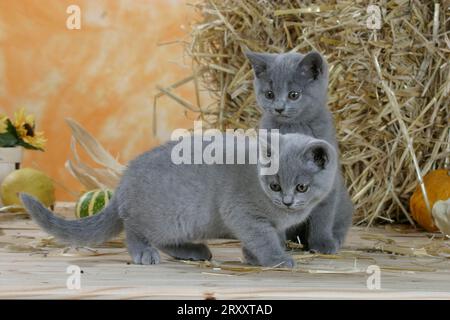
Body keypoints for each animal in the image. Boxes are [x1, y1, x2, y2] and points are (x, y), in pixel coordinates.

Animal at [21, 132, 338, 268]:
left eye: (301, 187)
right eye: (274, 185)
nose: (286, 201)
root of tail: (124, 179)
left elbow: (258, 240)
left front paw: (252, 258)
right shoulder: (243, 214)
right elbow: (263, 239)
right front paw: (276, 259)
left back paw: (194, 251)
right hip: (168, 215)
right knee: (135, 231)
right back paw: (144, 254)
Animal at [244, 50, 354, 255]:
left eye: (294, 94)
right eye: (269, 94)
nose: (279, 108)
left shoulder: (327, 180)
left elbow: (323, 215)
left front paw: (322, 244)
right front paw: (277, 244)